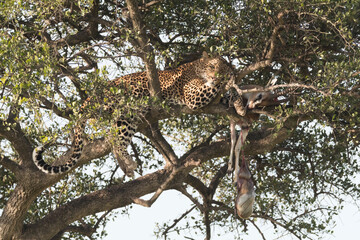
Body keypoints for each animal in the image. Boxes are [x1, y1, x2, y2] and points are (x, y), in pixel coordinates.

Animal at [33, 52, 233, 176]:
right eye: (212, 66)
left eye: (222, 69)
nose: (217, 76)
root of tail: (88, 99)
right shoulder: (193, 96)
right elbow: (211, 89)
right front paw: (231, 80)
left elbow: (225, 96)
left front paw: (234, 93)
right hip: (127, 107)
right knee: (115, 139)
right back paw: (128, 163)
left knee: (113, 138)